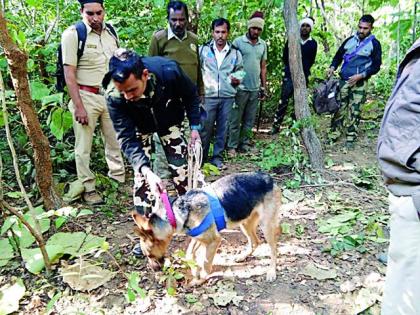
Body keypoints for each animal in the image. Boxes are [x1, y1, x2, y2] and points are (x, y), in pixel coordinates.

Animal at [131, 173, 282, 286]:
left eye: (149, 255)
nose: (154, 270)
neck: (175, 214)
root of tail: (269, 178)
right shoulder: (199, 237)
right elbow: (189, 254)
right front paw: (193, 270)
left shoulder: (214, 241)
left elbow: (206, 264)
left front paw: (199, 279)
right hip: (245, 222)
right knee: (255, 241)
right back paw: (242, 256)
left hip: (266, 226)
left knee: (274, 248)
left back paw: (271, 271)